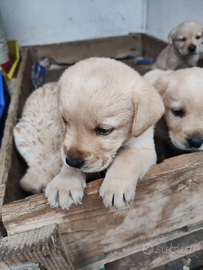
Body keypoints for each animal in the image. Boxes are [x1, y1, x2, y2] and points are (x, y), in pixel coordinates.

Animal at [13, 57, 165, 209]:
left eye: (104, 130)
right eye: (64, 120)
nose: (72, 161)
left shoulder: (144, 147)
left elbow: (127, 158)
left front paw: (115, 187)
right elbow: (67, 163)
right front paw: (64, 184)